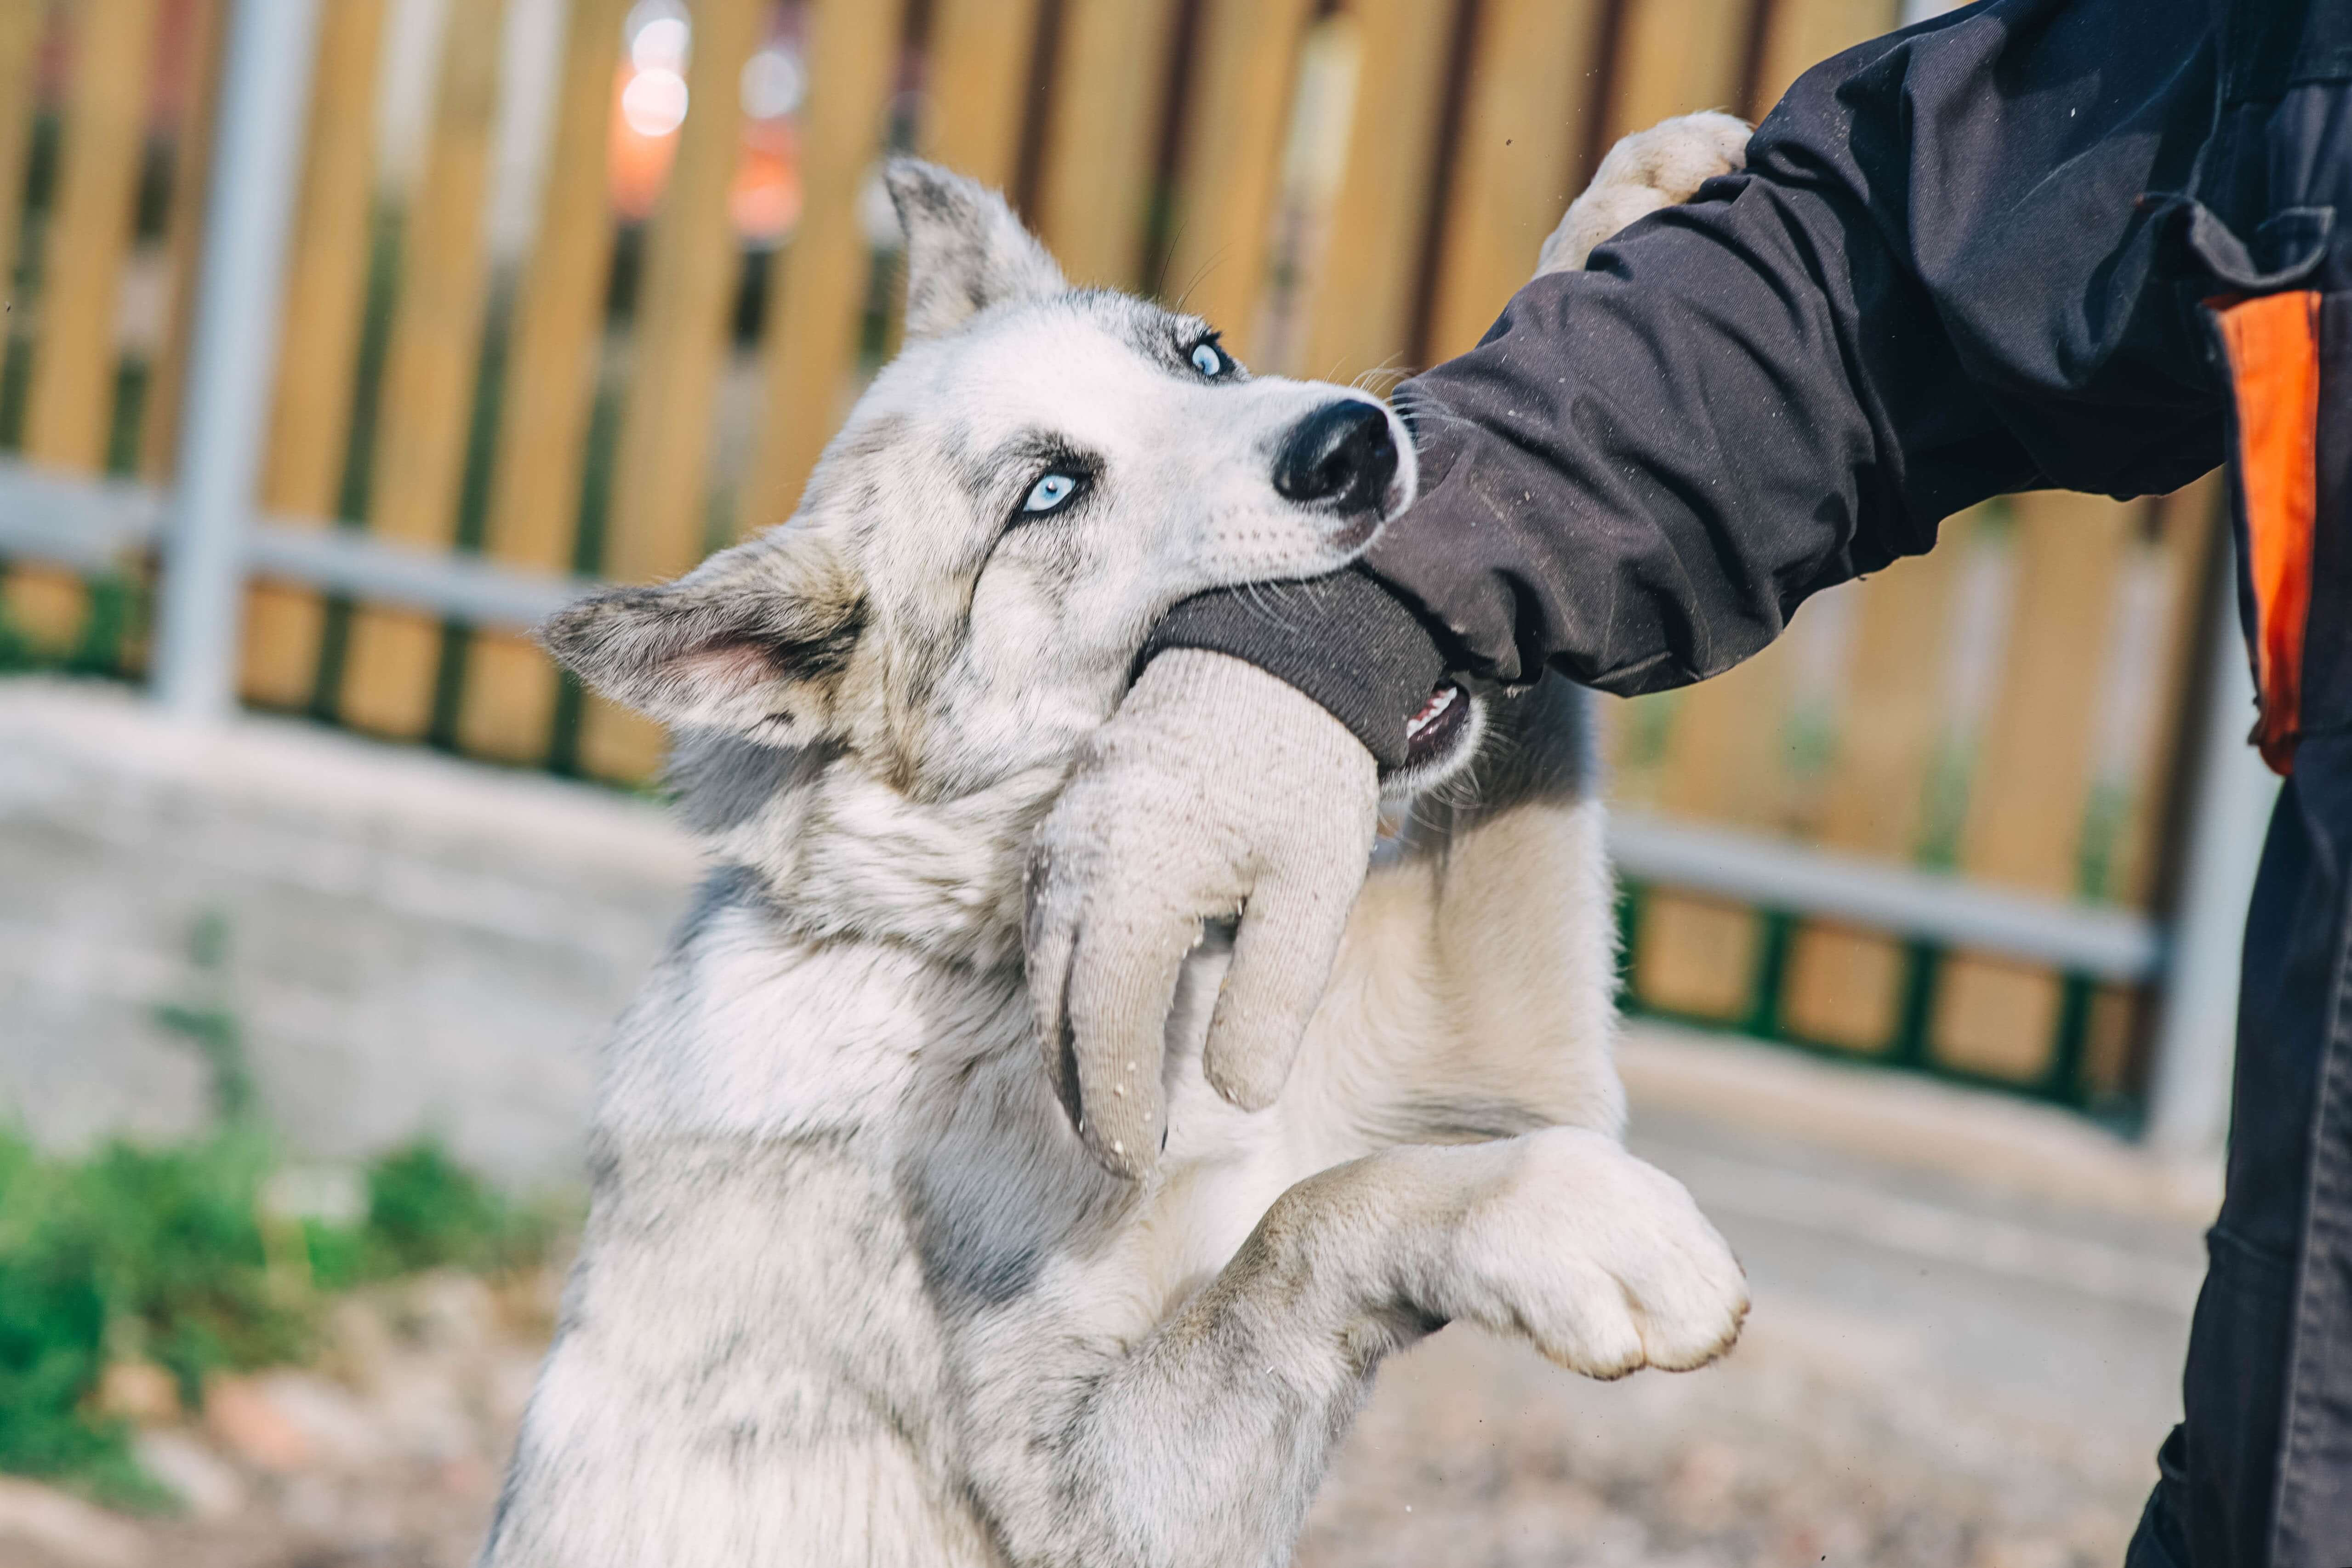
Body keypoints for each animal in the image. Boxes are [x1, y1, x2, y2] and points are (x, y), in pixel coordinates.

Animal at [487, 116, 1759, 1568]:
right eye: (1048, 492)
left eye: (1202, 357)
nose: (1353, 445)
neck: (995, 964)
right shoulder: (1101, 1497)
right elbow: (1305, 1226)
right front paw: (1582, 1232)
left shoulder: (1504, 1059)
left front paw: (1608, 227)